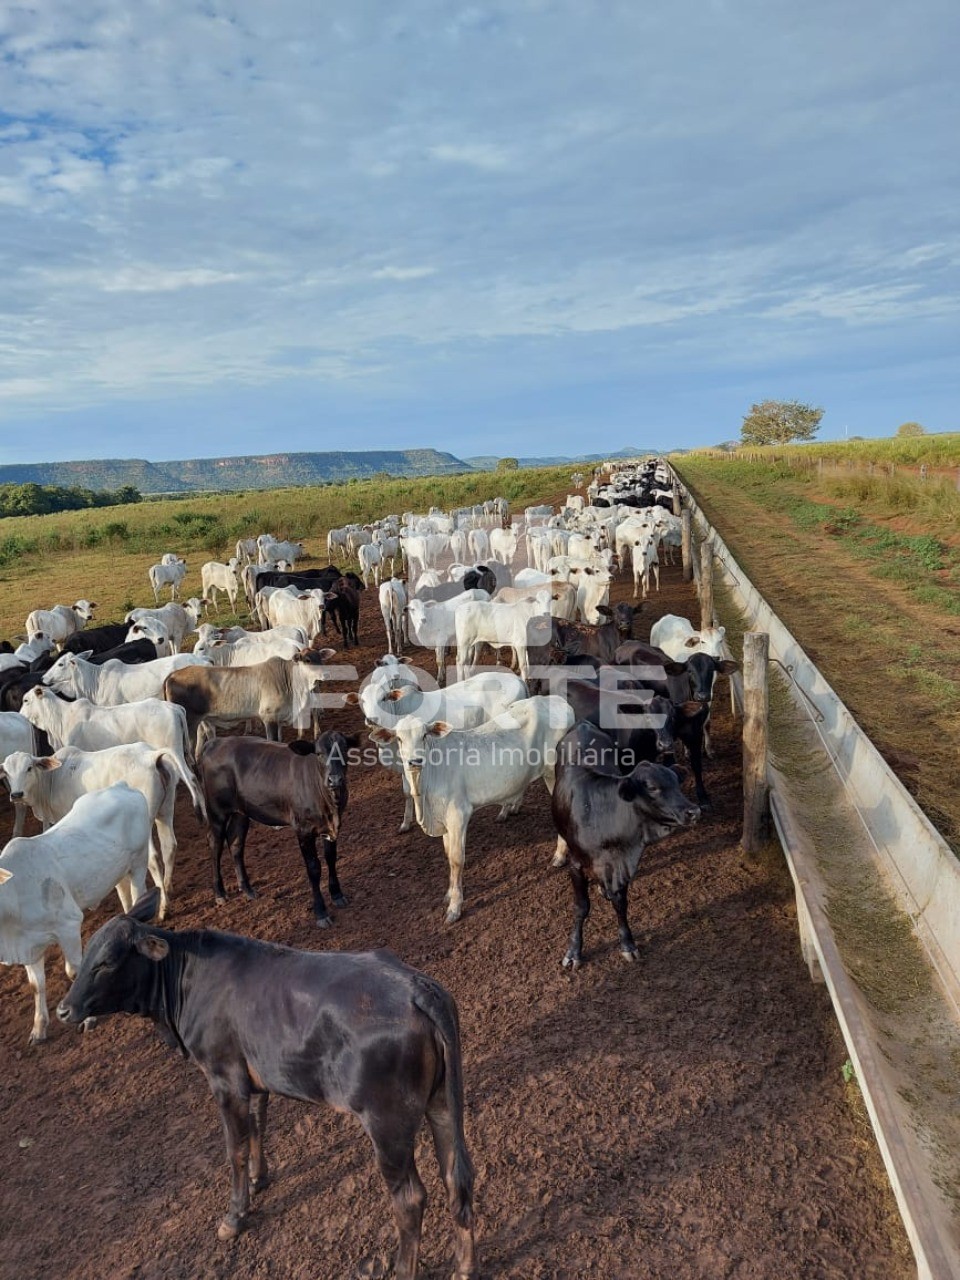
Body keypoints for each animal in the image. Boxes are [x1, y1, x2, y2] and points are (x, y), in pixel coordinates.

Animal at [0, 783, 152, 1044]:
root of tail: (121, 785)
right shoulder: (29, 945)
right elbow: (36, 985)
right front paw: (38, 1029)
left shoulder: (69, 924)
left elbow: (75, 971)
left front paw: (87, 1019)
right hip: (118, 871)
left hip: (138, 863)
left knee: (138, 891)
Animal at [56, 890, 478, 1280]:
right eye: (85, 956)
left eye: (107, 962)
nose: (63, 1009)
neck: (184, 985)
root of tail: (416, 986)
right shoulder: (255, 1076)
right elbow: (258, 1125)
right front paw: (260, 1180)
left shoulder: (224, 1077)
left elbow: (235, 1149)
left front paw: (234, 1215)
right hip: (441, 1103)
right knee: (457, 1176)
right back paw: (464, 1268)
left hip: (386, 1120)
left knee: (410, 1198)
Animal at [199, 727, 360, 926]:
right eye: (319, 753)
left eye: (345, 750)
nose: (335, 780)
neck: (330, 806)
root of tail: (216, 742)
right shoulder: (303, 830)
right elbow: (313, 868)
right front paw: (321, 912)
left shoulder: (329, 828)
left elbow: (331, 858)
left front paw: (337, 894)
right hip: (216, 811)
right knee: (215, 844)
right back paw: (220, 893)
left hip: (241, 812)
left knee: (235, 844)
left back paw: (247, 889)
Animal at [386, 696, 578, 926]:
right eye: (398, 739)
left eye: (424, 735)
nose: (414, 761)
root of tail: (555, 699)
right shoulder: (444, 822)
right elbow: (448, 854)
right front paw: (449, 894)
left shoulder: (458, 815)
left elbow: (457, 859)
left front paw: (455, 907)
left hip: (553, 773)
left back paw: (559, 855)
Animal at [552, 721, 701, 967]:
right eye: (652, 787)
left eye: (677, 783)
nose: (693, 810)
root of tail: (583, 724)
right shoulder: (576, 864)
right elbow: (581, 907)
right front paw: (573, 951)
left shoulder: (622, 863)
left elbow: (620, 903)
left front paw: (627, 944)